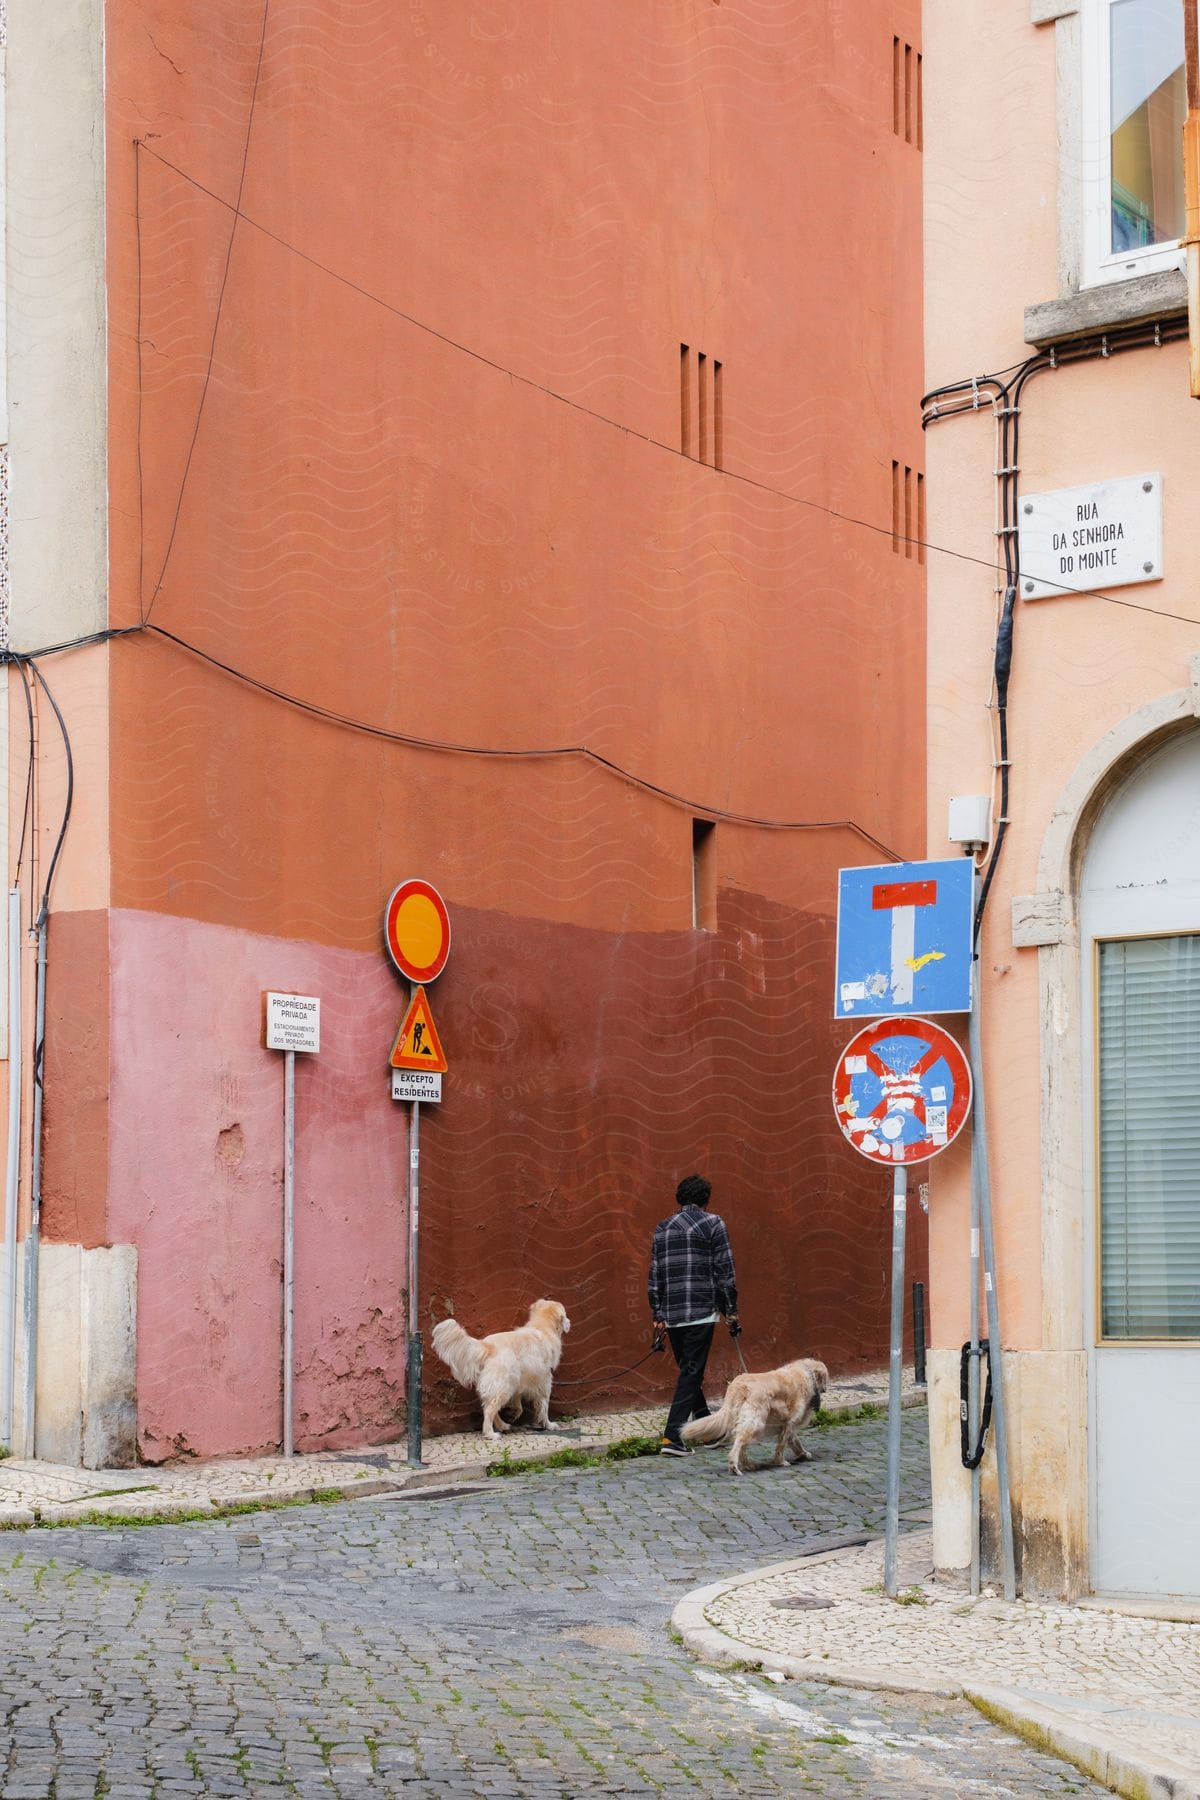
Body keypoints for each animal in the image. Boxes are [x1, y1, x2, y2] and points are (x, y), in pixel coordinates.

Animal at [429, 1303, 572, 1440]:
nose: (569, 1323)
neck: (541, 1326)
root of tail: (486, 1346)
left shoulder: (519, 1381)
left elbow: (519, 1403)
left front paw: (514, 1413)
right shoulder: (544, 1380)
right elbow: (544, 1405)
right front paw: (549, 1424)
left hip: (501, 1385)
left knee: (488, 1407)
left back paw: (503, 1425)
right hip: (502, 1387)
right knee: (489, 1411)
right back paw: (490, 1434)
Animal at [680, 1353, 831, 1468]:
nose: (825, 1389)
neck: (807, 1372)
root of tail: (738, 1385)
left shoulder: (786, 1425)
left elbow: (795, 1441)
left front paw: (803, 1454)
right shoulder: (790, 1422)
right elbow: (782, 1445)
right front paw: (781, 1462)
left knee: (740, 1443)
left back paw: (748, 1464)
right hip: (756, 1423)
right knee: (739, 1442)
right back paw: (734, 1466)